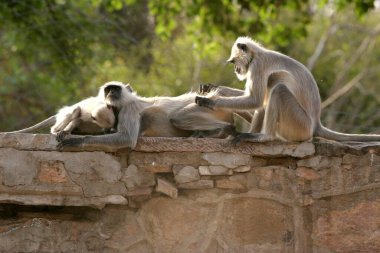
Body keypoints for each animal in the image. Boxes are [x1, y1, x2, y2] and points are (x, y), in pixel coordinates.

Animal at [57, 81, 252, 149]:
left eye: (116, 89)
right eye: (108, 89)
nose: (111, 93)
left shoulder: (129, 109)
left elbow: (127, 139)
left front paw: (78, 141)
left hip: (207, 106)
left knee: (178, 117)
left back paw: (222, 130)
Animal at [196, 36, 380, 142]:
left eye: (234, 62)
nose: (236, 69)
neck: (257, 55)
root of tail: (315, 124)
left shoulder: (258, 66)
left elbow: (255, 100)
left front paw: (209, 101)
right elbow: (256, 100)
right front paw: (214, 88)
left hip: (299, 125)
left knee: (277, 89)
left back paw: (264, 137)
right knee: (268, 94)